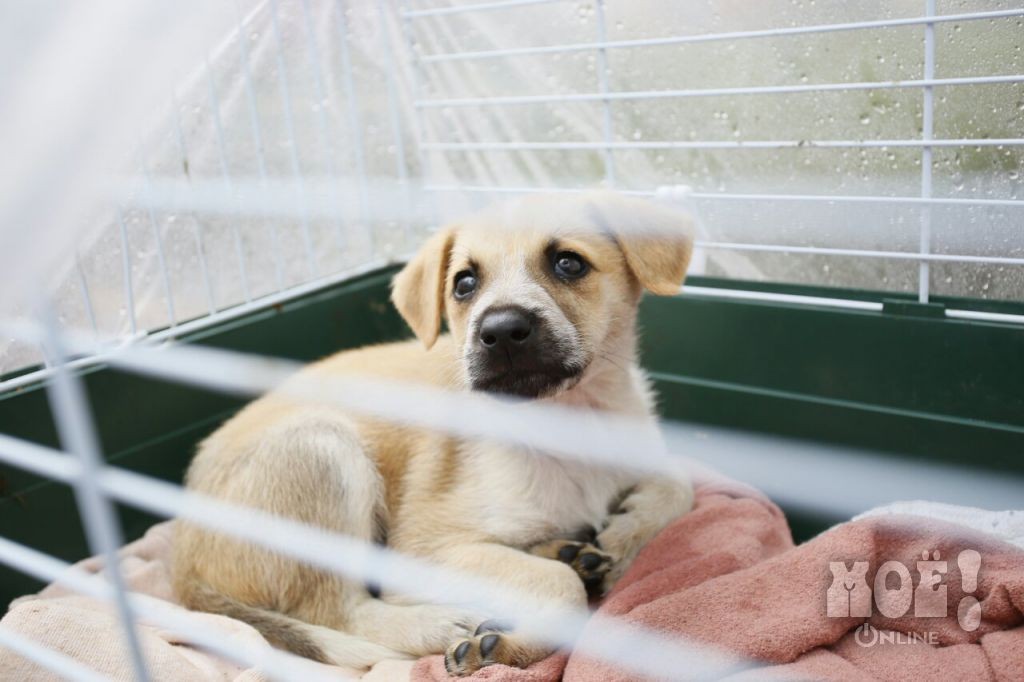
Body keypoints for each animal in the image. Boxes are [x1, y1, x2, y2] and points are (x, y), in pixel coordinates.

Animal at [172, 191, 696, 676]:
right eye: (464, 283)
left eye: (569, 263)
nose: (500, 332)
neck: (567, 425)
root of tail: (180, 549)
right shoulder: (423, 548)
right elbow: (558, 587)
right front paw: (505, 645)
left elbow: (679, 485)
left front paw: (622, 536)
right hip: (321, 449)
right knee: (339, 610)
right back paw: (444, 621)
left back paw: (563, 549)